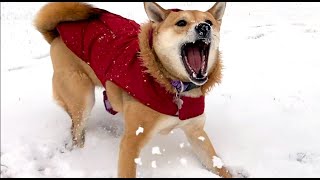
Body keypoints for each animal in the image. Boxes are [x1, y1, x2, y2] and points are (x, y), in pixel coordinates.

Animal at [34, 1, 230, 178]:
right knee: (76, 133)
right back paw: (82, 155)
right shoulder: (131, 143)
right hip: (82, 99)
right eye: (181, 22)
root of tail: (57, 33)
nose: (204, 27)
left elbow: (218, 165)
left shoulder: (196, 133)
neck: (172, 85)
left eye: (209, 21)